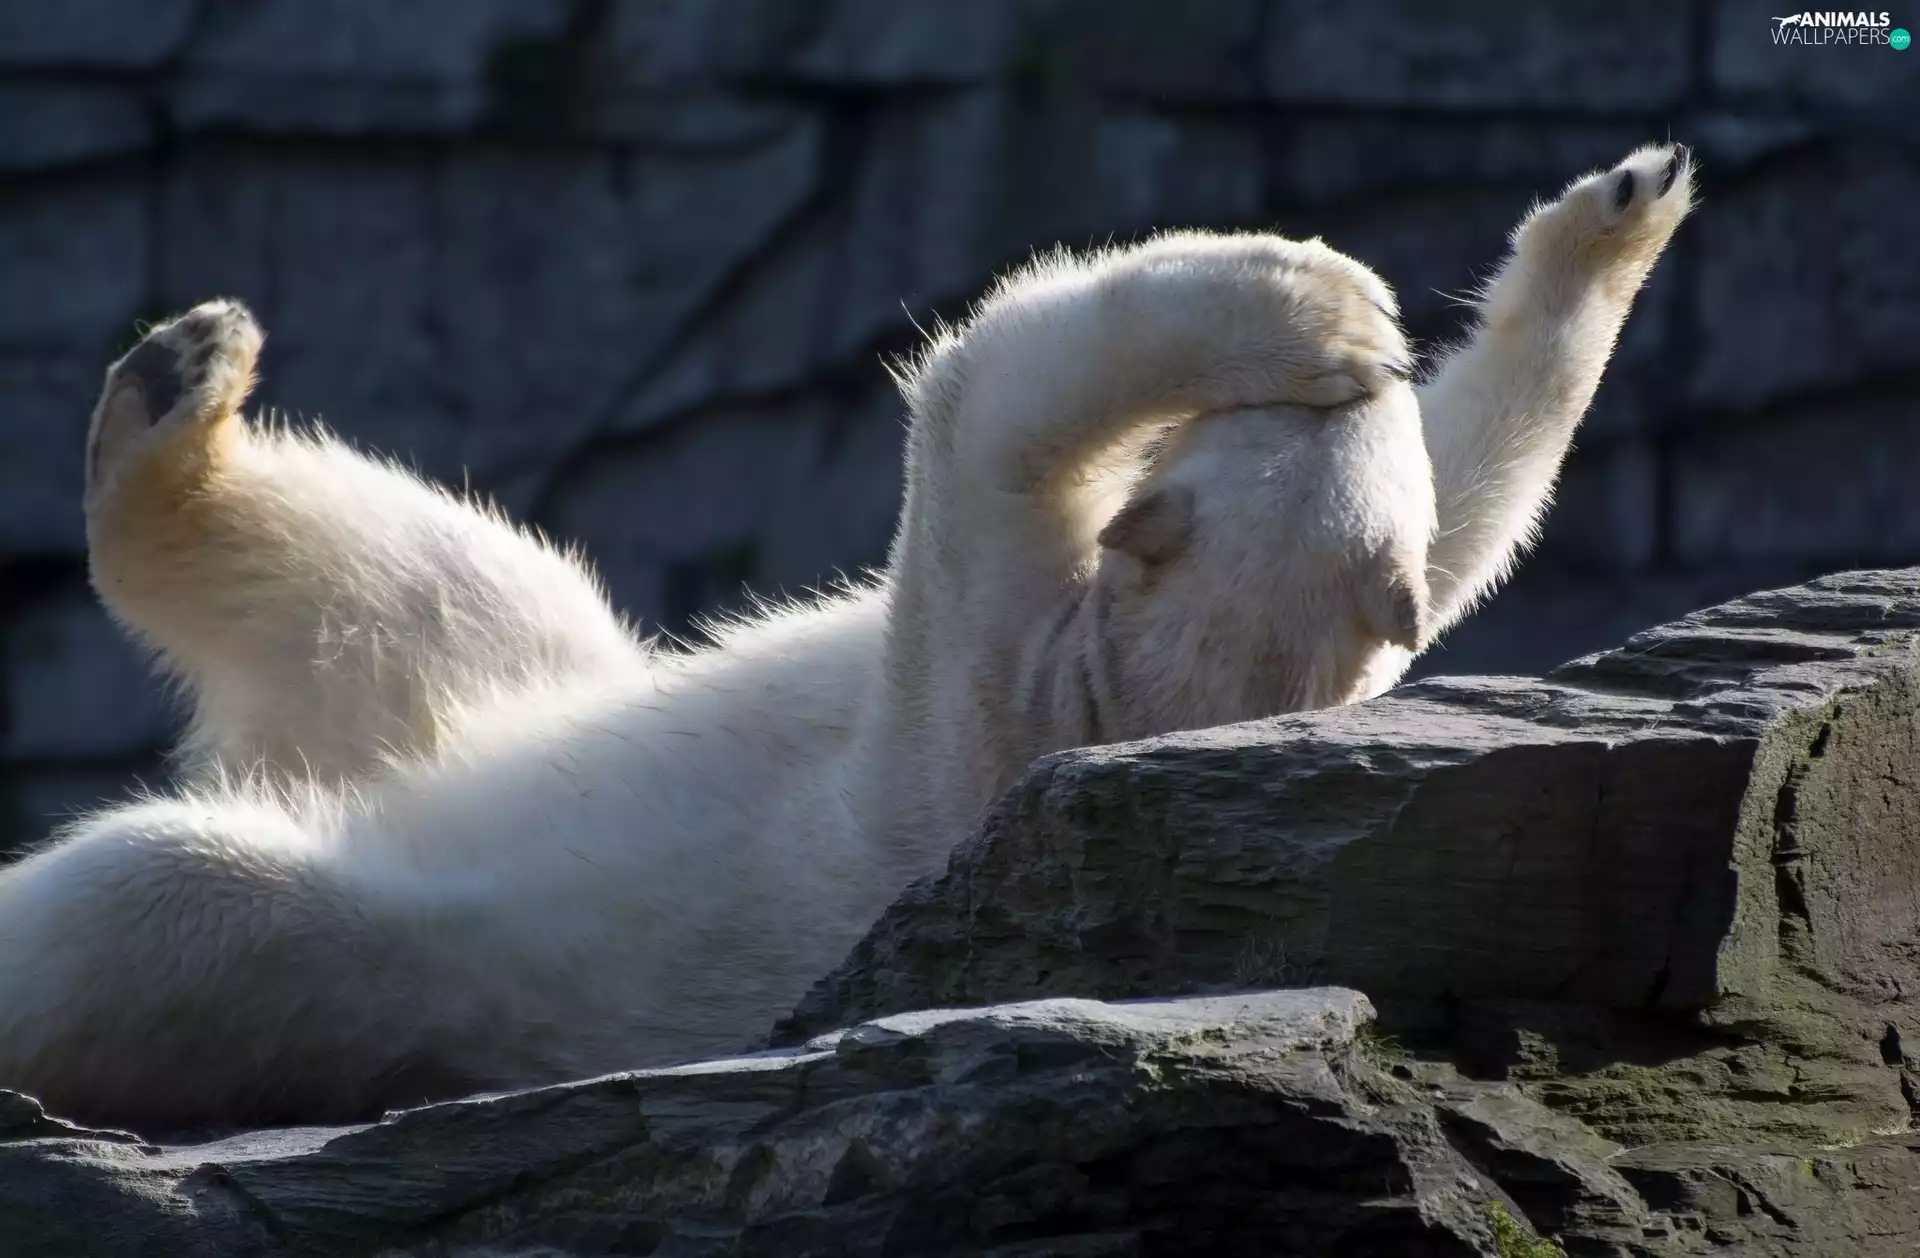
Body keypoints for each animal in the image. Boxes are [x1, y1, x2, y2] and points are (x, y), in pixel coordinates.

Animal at [0, 143, 1693, 1130]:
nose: (1361, 369)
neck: (1116, 703)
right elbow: (1468, 518)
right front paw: (1606, 223)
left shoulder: (990, 692)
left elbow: (981, 410)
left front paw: (1312, 301)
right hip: (487, 685)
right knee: (447, 582)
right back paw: (179, 382)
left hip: (365, 952)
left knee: (160, 891)